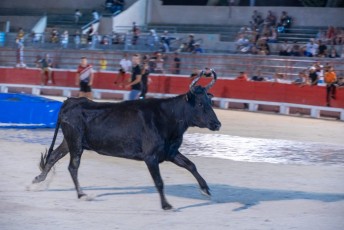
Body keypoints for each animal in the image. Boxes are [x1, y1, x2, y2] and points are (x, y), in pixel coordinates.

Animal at [32, 72, 220, 210]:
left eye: (210, 102)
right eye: (200, 104)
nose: (217, 124)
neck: (167, 117)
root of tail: (70, 102)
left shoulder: (170, 152)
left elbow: (190, 165)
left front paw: (205, 189)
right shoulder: (150, 156)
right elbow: (159, 181)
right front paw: (166, 205)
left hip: (69, 141)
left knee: (54, 156)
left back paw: (37, 181)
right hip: (76, 143)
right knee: (73, 166)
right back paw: (81, 194)